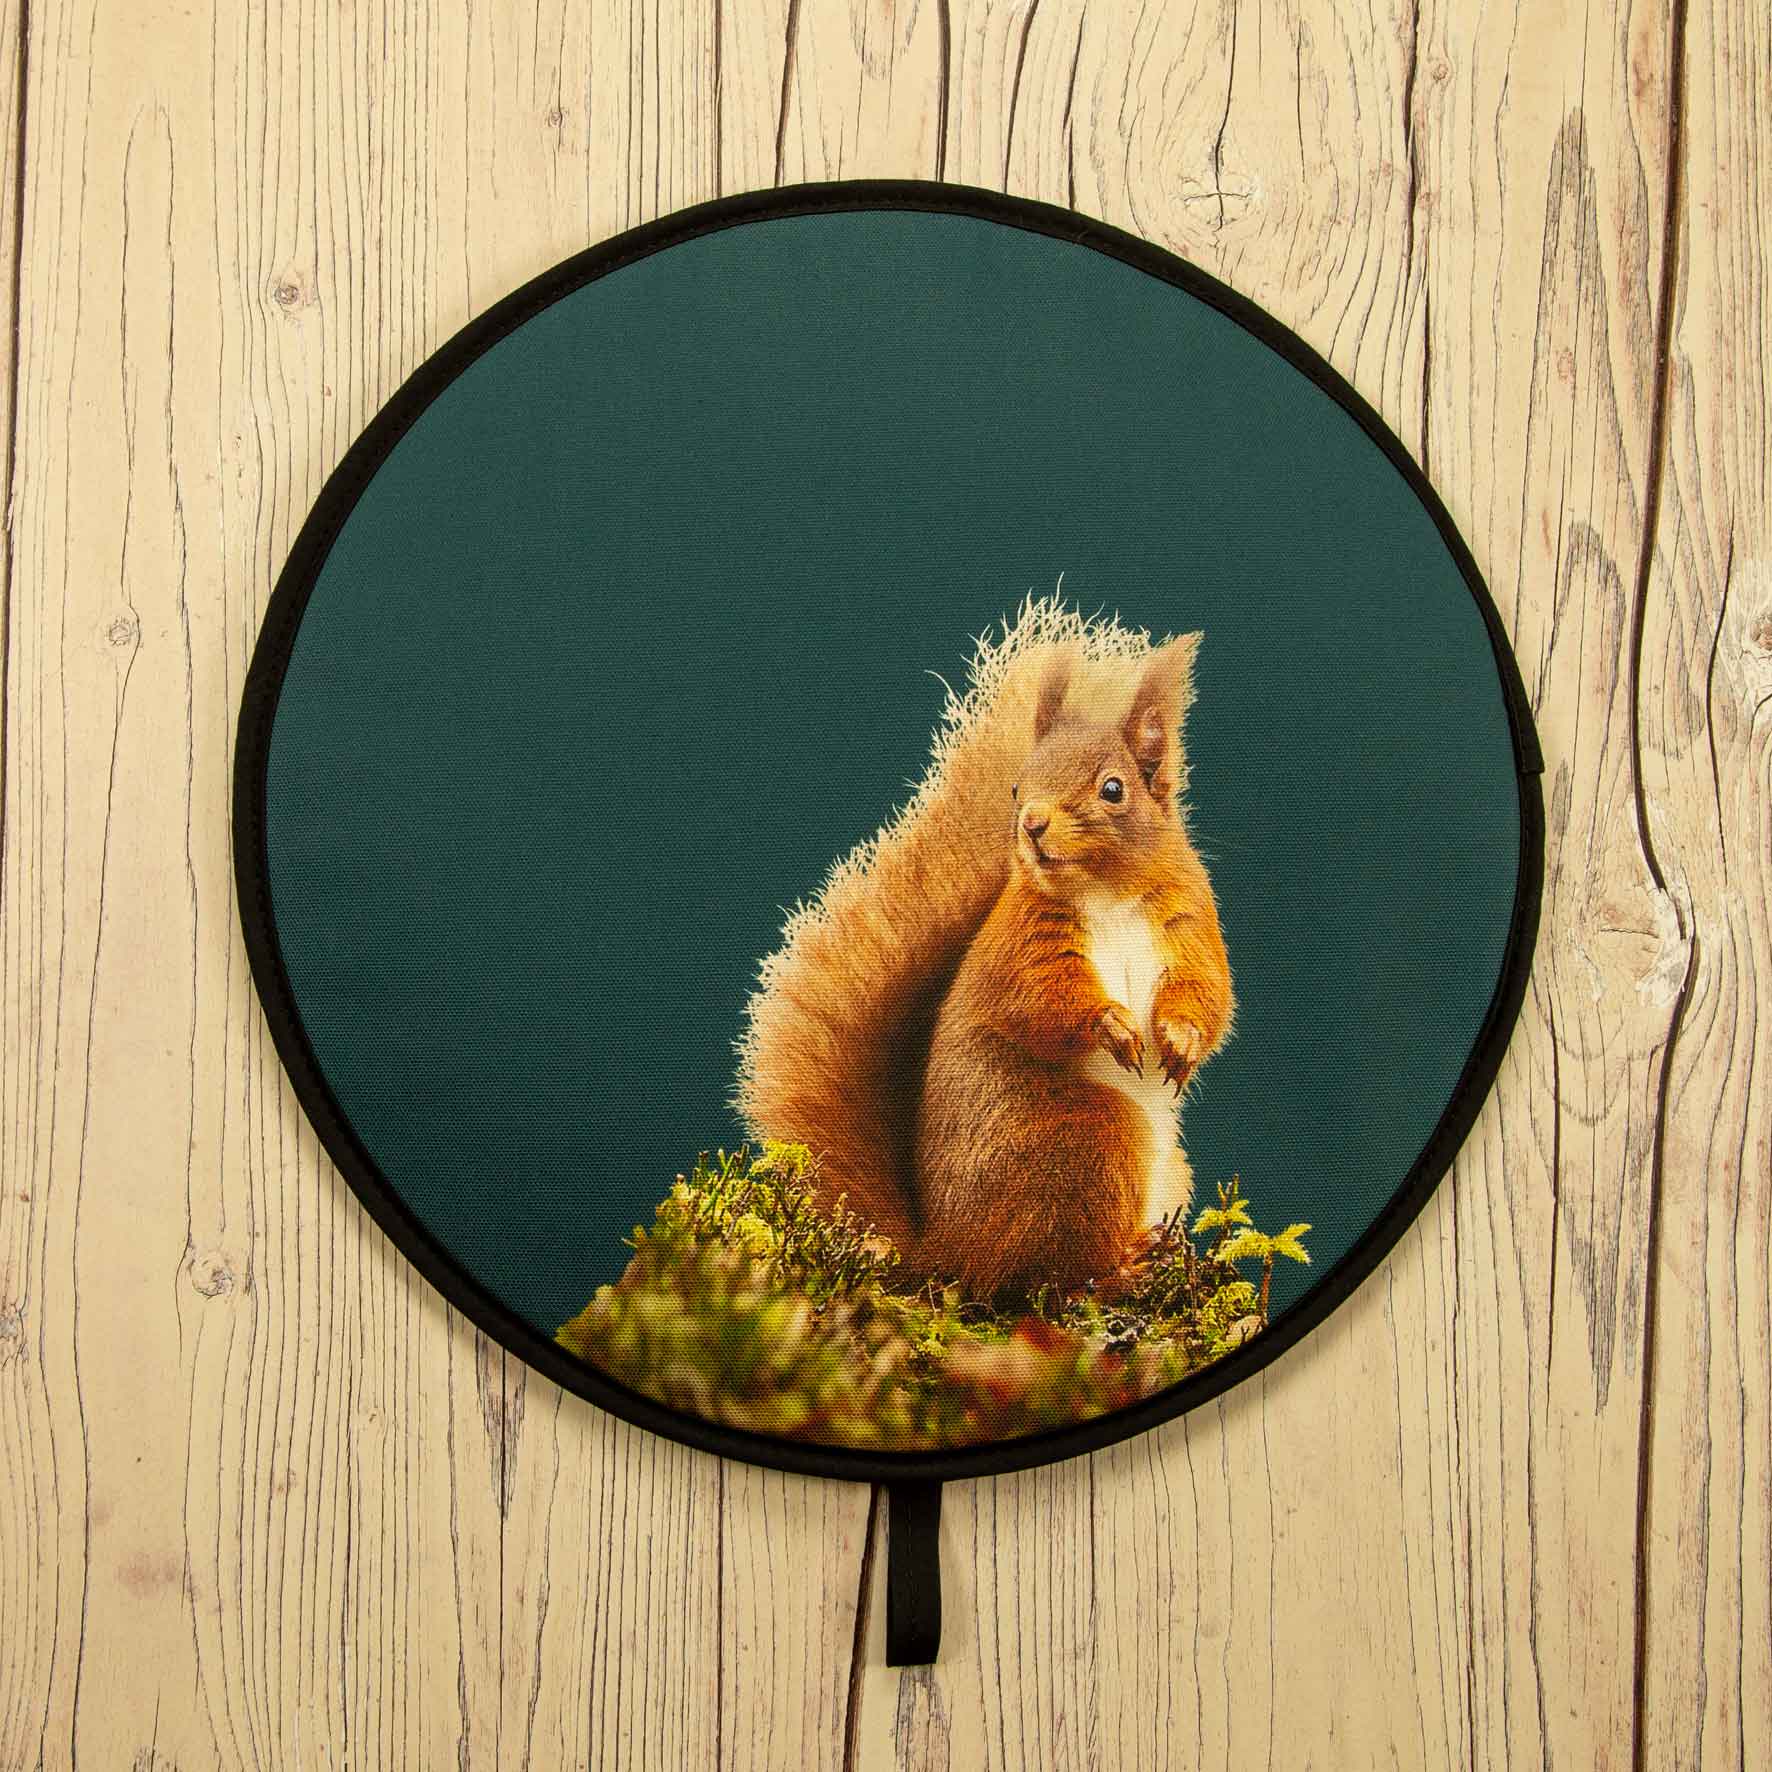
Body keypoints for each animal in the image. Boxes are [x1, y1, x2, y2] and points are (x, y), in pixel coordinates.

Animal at [736, 598, 1233, 1300]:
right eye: (1018, 786)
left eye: (1114, 789)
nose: (1032, 825)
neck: (1105, 891)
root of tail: (949, 1251)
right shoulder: (1024, 944)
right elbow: (1044, 1000)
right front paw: (1110, 1025)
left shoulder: (1189, 922)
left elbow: (1206, 991)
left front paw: (1182, 1040)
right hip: (1088, 1144)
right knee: (1054, 1274)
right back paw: (1124, 1268)